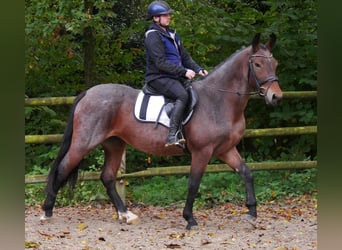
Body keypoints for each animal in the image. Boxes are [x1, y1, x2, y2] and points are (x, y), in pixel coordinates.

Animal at [40, 33, 284, 230]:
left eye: (275, 63)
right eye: (258, 64)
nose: (276, 97)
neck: (219, 100)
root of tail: (88, 93)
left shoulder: (226, 150)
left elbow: (247, 173)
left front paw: (252, 213)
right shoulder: (202, 152)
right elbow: (194, 183)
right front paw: (190, 219)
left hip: (115, 144)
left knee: (107, 177)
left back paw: (126, 214)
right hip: (83, 143)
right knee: (63, 168)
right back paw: (47, 211)